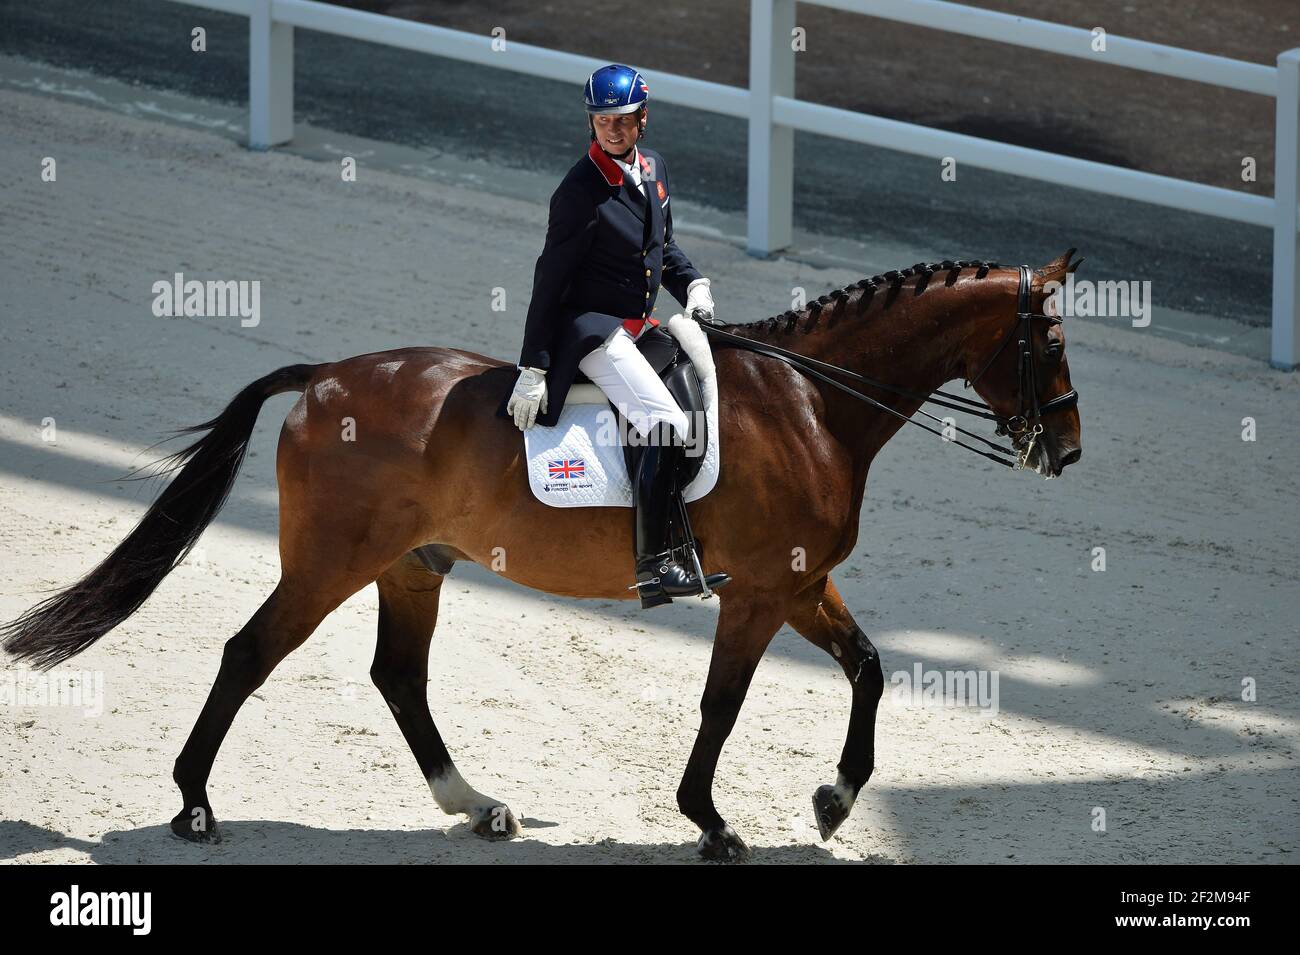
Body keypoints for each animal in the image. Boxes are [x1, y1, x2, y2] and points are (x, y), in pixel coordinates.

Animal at [2, 250, 1076, 862]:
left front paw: (835, 799)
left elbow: (872, 667)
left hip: (413, 564)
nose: (1063, 451)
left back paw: (477, 807)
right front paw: (711, 821)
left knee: (398, 676)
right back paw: (193, 803)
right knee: (249, 654)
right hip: (329, 566)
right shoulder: (760, 595)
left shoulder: (802, 582)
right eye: (1052, 339)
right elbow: (723, 704)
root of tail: (323, 378)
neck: (813, 401)